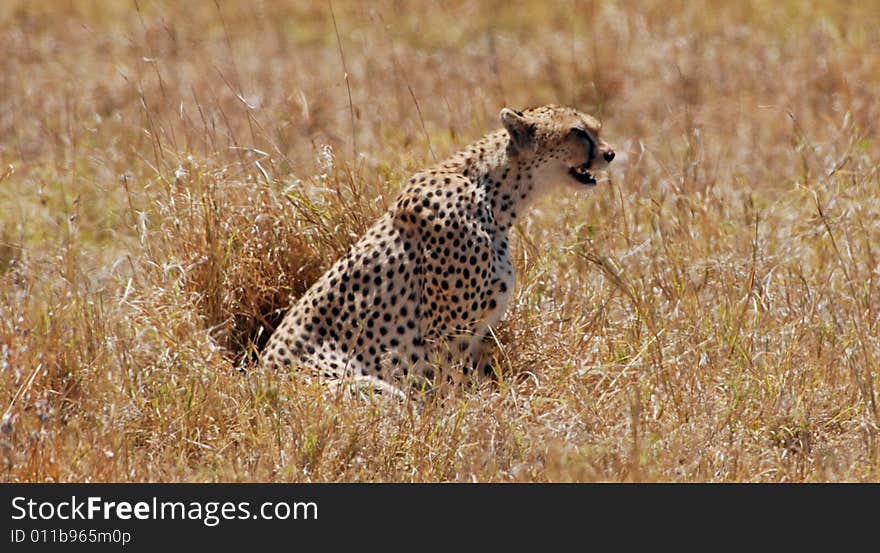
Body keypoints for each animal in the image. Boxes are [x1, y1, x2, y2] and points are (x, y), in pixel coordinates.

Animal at [262, 103, 612, 394]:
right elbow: (450, 388)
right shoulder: (447, 333)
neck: (494, 194)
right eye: (578, 132)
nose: (610, 154)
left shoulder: (475, 335)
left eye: (597, 128)